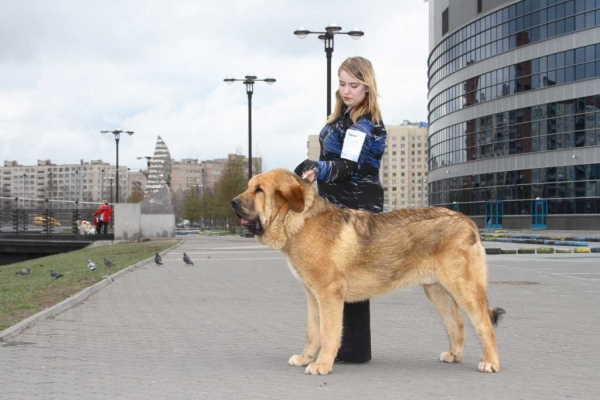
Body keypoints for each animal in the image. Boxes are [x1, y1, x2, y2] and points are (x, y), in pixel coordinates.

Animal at [232, 168, 504, 376]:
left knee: (484, 326)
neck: (299, 221)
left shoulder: (329, 295)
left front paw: (322, 364)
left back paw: (490, 362)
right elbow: (313, 332)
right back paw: (454, 355)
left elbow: (329, 333)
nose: (233, 202)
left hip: (464, 288)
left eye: (259, 190)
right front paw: (305, 358)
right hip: (437, 291)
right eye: (249, 187)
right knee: (456, 323)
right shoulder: (312, 295)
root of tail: (469, 222)